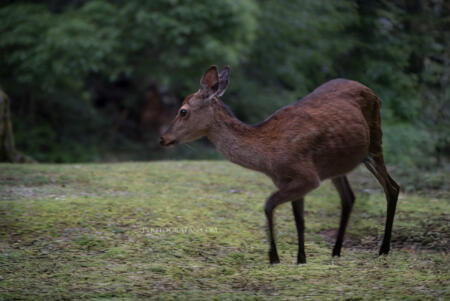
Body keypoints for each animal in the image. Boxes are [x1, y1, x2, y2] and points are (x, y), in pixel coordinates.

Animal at [160, 65, 400, 262]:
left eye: (183, 111)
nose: (163, 138)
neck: (268, 155)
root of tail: (375, 94)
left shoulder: (307, 176)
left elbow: (269, 204)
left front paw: (274, 257)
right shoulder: (288, 180)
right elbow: (299, 220)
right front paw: (301, 259)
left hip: (375, 142)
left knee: (392, 187)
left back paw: (383, 249)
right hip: (339, 165)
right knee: (349, 198)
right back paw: (336, 251)